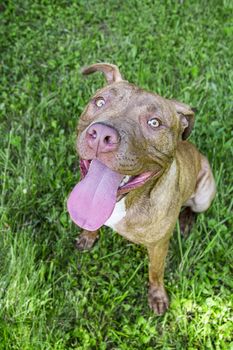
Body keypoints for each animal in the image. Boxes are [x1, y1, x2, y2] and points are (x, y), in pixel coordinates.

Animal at [66, 62, 216, 314]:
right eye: (100, 102)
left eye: (154, 122)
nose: (102, 135)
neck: (126, 201)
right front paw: (87, 236)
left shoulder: (159, 245)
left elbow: (156, 272)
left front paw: (157, 296)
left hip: (204, 194)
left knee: (193, 208)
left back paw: (186, 221)